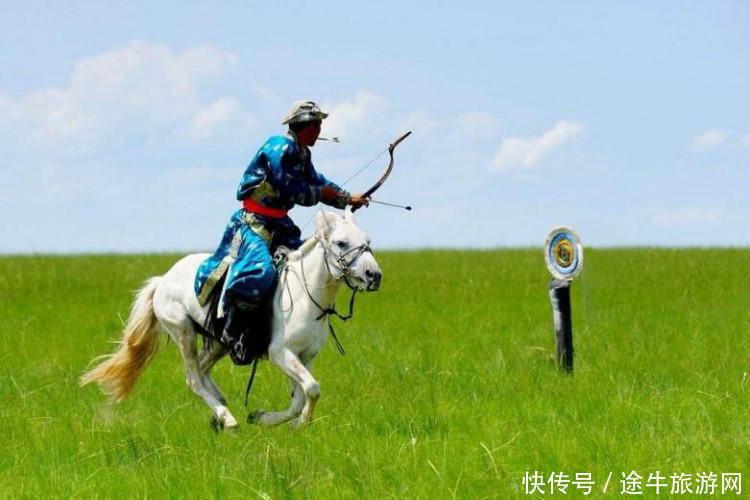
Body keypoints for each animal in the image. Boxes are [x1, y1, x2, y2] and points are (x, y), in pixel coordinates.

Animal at [81, 209, 382, 428]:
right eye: (341, 242)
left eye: (367, 241)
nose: (374, 276)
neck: (304, 295)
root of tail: (162, 280)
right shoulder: (280, 353)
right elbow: (312, 388)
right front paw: (299, 424)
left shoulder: (305, 356)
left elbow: (301, 395)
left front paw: (264, 418)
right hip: (183, 332)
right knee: (193, 379)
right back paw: (227, 418)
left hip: (218, 343)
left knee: (203, 370)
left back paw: (221, 406)